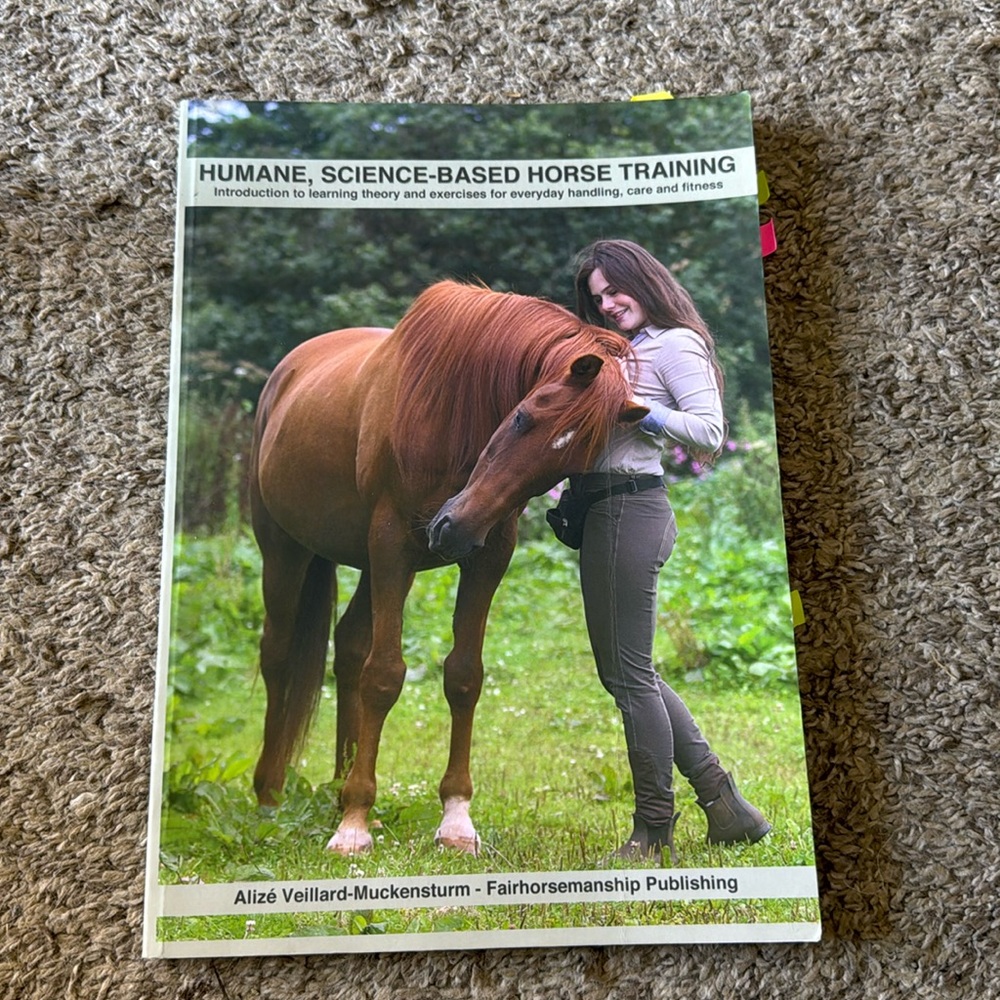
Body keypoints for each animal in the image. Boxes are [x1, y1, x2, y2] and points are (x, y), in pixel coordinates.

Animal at [248, 279, 646, 855]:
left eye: (565, 466)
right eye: (523, 417)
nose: (453, 530)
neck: (452, 410)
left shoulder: (487, 556)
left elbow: (463, 676)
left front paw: (455, 817)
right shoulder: (392, 543)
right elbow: (384, 675)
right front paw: (355, 823)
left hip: (367, 563)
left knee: (348, 648)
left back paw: (336, 790)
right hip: (285, 549)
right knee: (278, 656)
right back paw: (271, 797)